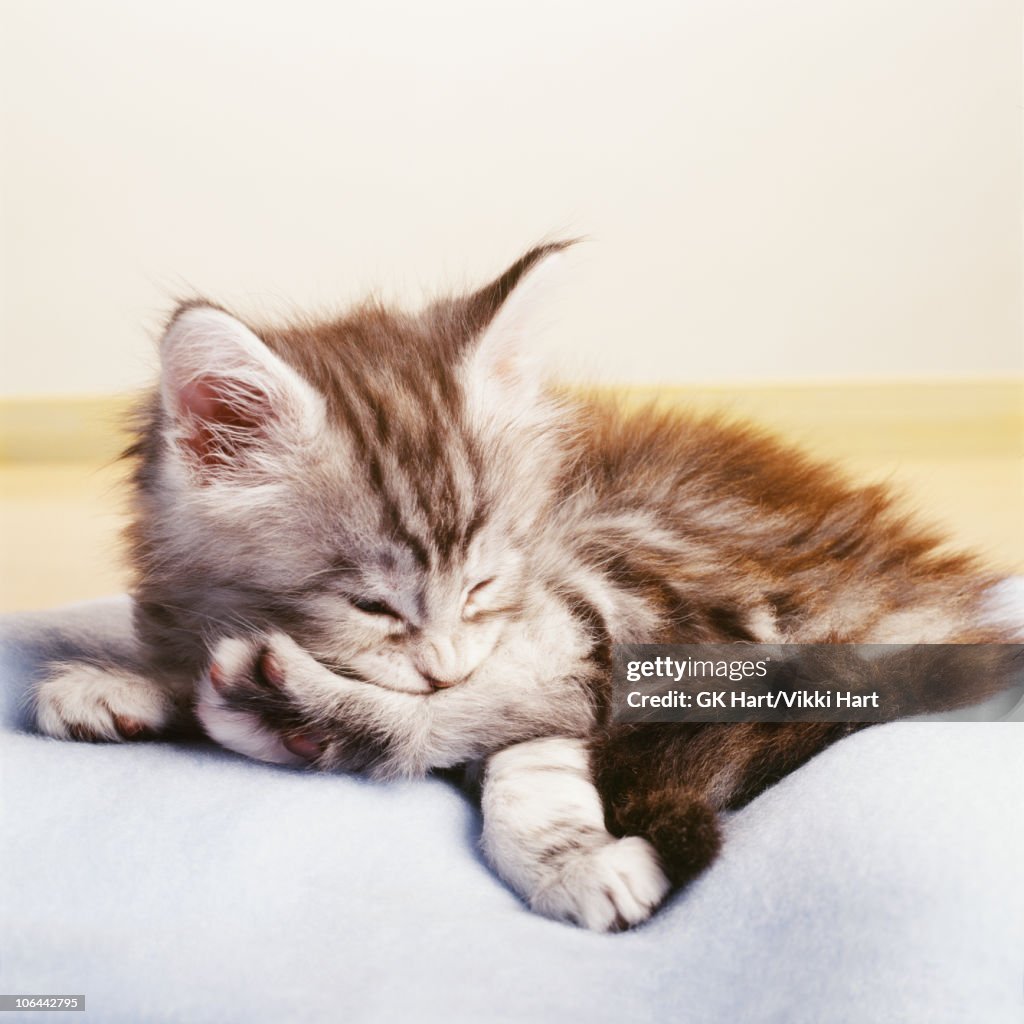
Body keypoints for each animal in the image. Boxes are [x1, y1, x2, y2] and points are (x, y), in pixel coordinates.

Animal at [32, 243, 1015, 933]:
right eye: (372, 607)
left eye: (482, 586)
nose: (443, 667)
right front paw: (129, 679)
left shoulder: (553, 619)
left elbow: (530, 747)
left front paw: (573, 860)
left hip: (663, 556)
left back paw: (302, 717)